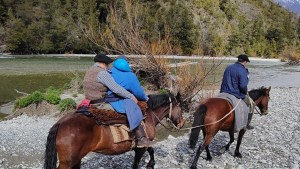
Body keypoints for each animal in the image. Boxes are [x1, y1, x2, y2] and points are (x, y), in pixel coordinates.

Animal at [43, 93, 184, 168]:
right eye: (181, 107)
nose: (182, 123)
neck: (148, 115)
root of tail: (61, 122)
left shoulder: (143, 144)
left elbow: (151, 149)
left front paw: (151, 163)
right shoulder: (141, 146)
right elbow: (137, 162)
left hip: (76, 158)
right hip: (67, 162)